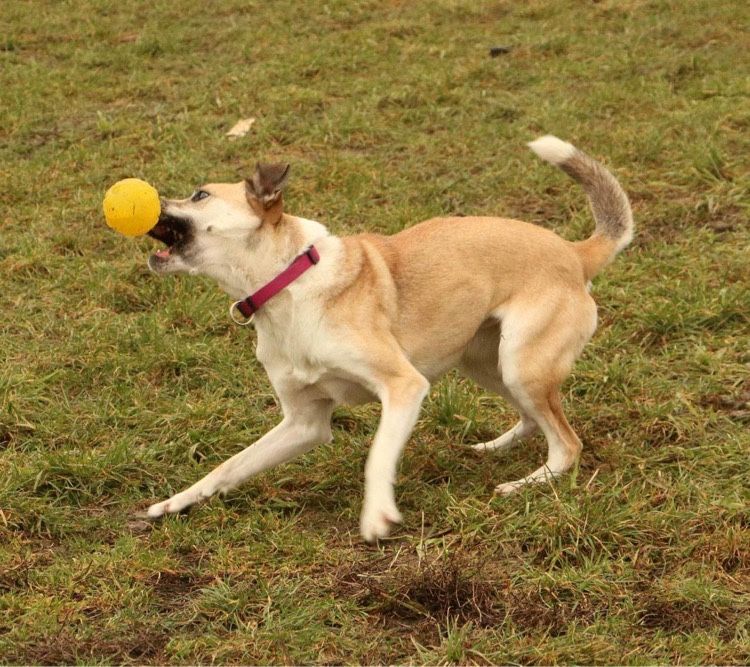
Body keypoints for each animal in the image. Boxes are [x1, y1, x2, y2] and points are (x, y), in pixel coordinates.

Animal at [142, 136, 636, 544]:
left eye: (200, 195)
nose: (151, 198)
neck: (287, 283)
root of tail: (575, 253)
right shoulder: (304, 423)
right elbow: (229, 465)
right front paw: (174, 503)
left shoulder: (404, 386)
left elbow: (378, 455)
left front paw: (377, 515)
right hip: (484, 363)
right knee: (536, 420)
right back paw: (493, 448)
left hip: (520, 366)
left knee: (567, 444)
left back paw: (523, 485)